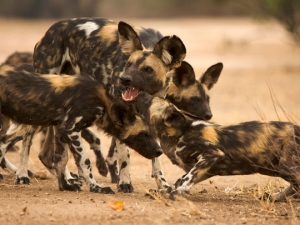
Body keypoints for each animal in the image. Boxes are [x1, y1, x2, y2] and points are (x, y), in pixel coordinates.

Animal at [0, 64, 162, 192]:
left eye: (153, 134)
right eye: (143, 134)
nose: (159, 151)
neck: (102, 102)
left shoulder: (61, 130)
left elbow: (61, 160)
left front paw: (66, 186)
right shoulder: (71, 130)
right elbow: (85, 162)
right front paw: (96, 187)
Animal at [134, 92, 300, 201]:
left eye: (148, 101)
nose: (140, 92)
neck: (180, 133)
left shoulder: (212, 154)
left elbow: (187, 178)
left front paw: (176, 193)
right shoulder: (208, 168)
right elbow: (180, 179)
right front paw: (168, 190)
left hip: (285, 167)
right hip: (278, 167)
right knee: (295, 187)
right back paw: (275, 197)